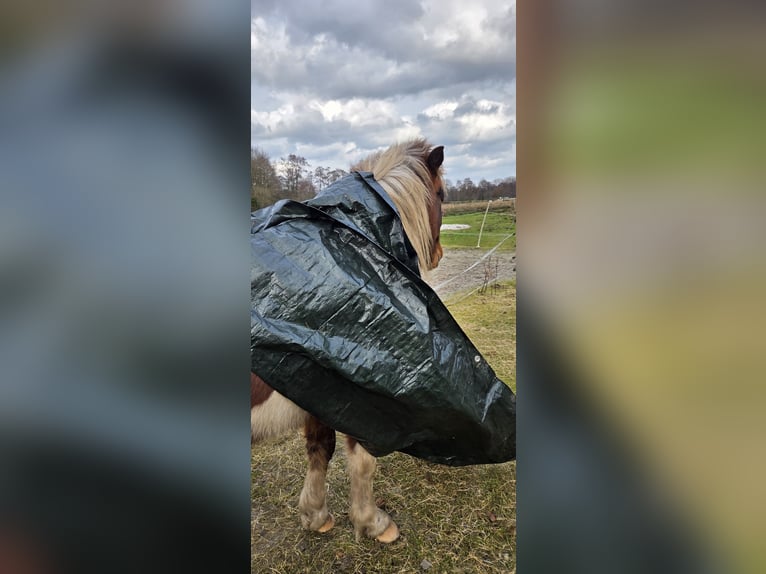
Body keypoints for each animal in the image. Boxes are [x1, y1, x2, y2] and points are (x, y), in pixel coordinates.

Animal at [251, 138, 445, 544]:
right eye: (441, 194)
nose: (438, 253)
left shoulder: (321, 395)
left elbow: (319, 449)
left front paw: (315, 514)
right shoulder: (361, 401)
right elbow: (362, 461)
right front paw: (373, 523)